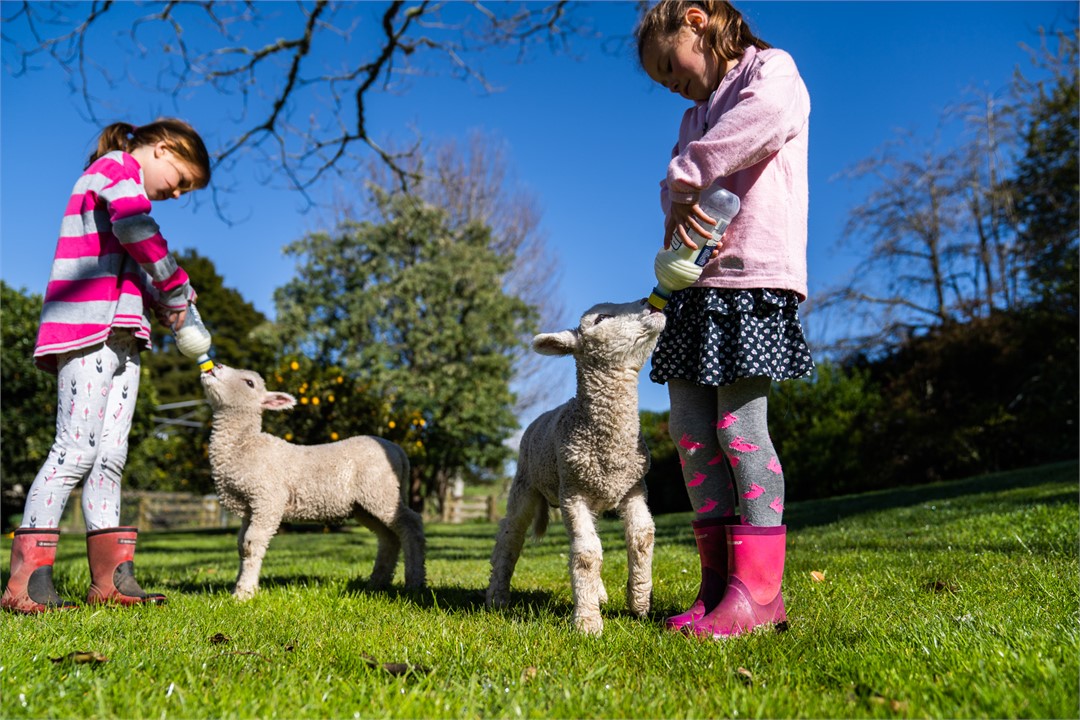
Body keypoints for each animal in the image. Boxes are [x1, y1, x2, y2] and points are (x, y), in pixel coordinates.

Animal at [200, 364, 425, 600]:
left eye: (249, 383)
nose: (216, 366)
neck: (242, 445)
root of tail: (398, 450)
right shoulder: (249, 507)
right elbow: (241, 545)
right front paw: (238, 587)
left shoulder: (267, 499)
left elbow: (252, 544)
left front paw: (244, 593)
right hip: (366, 504)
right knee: (389, 537)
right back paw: (377, 583)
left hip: (380, 489)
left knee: (411, 525)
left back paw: (414, 582)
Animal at [486, 299, 666, 634]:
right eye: (602, 318)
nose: (650, 304)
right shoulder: (573, 492)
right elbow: (586, 554)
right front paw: (587, 622)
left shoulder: (634, 487)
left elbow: (641, 537)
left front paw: (639, 602)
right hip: (526, 482)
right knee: (510, 535)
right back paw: (497, 595)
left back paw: (599, 592)